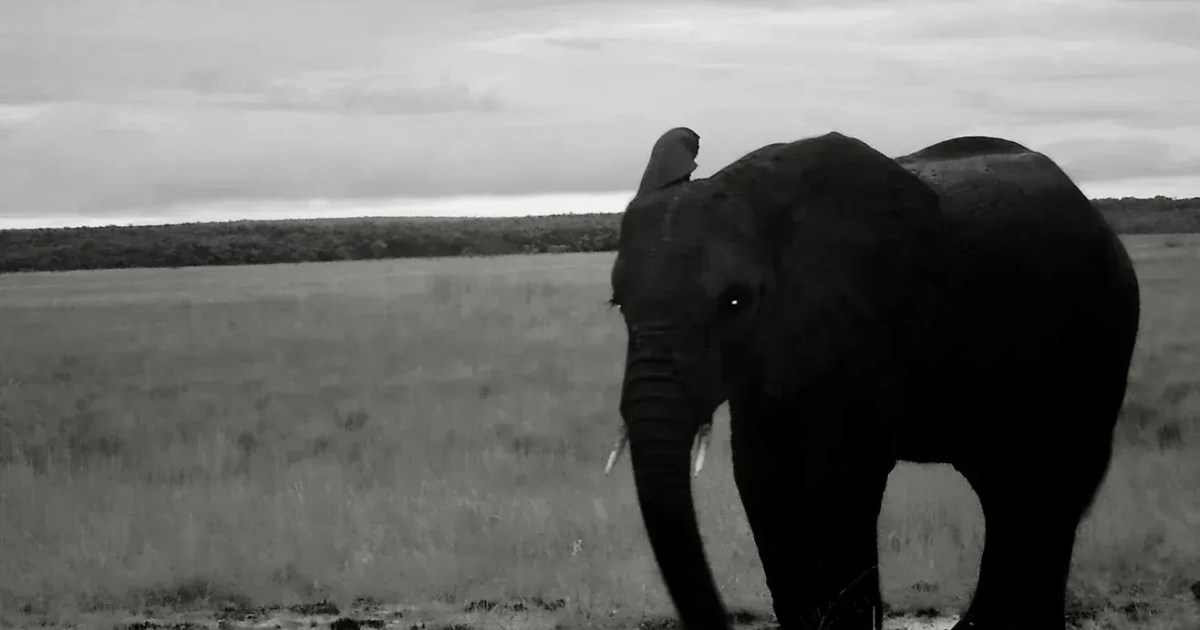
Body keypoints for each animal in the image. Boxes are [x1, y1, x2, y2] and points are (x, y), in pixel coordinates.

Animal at [605, 127, 1141, 630]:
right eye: (618, 304)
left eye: (735, 303)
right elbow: (761, 475)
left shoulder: (872, 325)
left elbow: (839, 476)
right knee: (1007, 481)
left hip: (1100, 329)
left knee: (1052, 475)